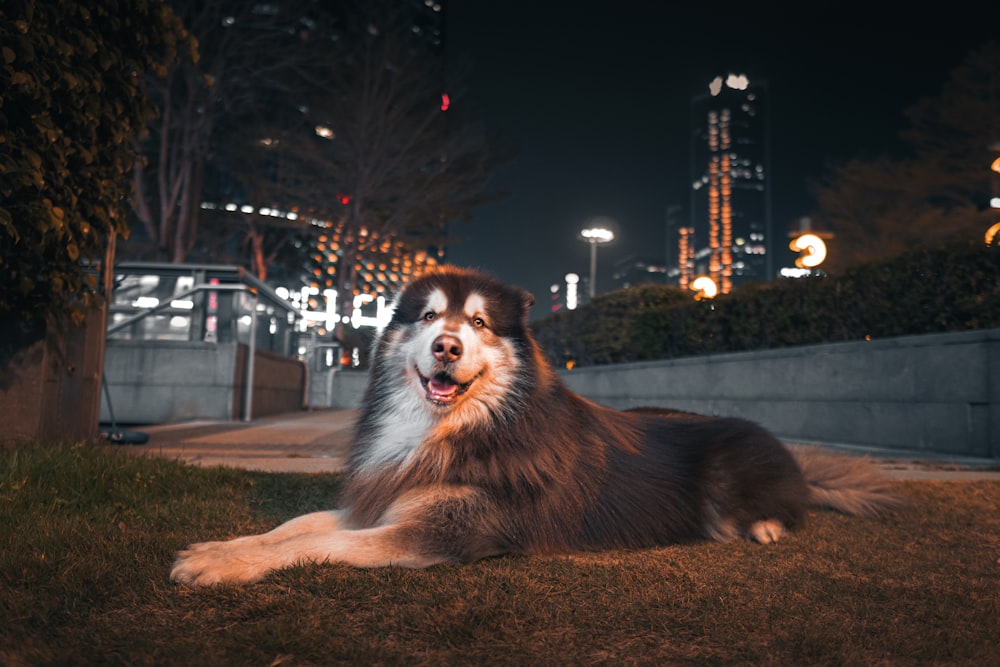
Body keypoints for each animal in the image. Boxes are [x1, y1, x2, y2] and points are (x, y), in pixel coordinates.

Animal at [168, 264, 904, 584]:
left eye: (479, 323)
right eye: (429, 317)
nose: (447, 347)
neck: (455, 428)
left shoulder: (443, 532)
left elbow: (321, 544)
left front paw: (224, 566)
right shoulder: (384, 498)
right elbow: (297, 525)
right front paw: (221, 547)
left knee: (782, 509)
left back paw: (767, 526)